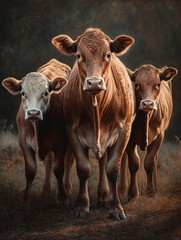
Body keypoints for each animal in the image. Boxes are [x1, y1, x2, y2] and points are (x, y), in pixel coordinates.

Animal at [2, 58, 71, 204]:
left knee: (68, 161)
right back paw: (46, 192)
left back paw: (67, 188)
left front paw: (62, 197)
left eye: (46, 93)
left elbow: (59, 169)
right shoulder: (22, 139)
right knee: (48, 162)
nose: (33, 113)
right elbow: (30, 170)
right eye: (23, 93)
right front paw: (25, 199)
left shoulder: (62, 141)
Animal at [51, 27, 135, 219]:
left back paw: (104, 197)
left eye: (108, 54)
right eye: (78, 55)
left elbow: (112, 169)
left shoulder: (124, 131)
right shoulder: (72, 130)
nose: (94, 82)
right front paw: (82, 206)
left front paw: (115, 207)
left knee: (104, 162)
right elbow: (84, 169)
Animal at [119, 64, 177, 201]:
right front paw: (132, 193)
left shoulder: (159, 136)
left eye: (158, 84)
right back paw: (121, 190)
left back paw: (155, 186)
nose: (147, 104)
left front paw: (150, 192)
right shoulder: (130, 138)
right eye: (137, 84)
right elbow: (134, 163)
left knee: (155, 159)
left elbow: (149, 163)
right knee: (123, 158)